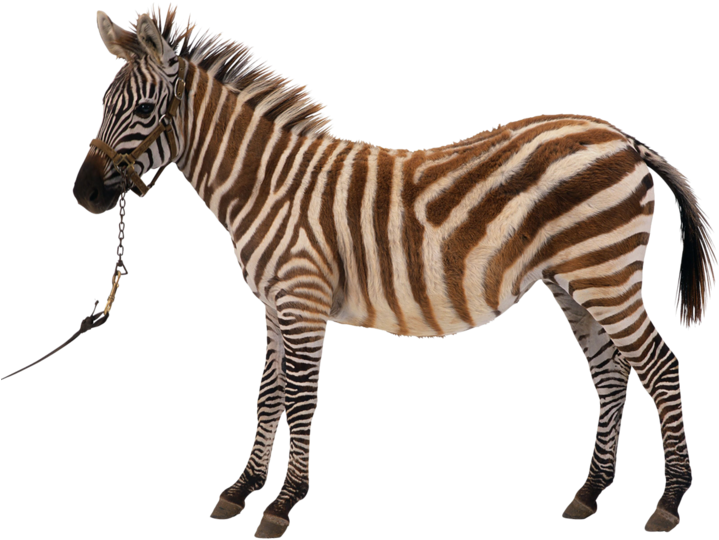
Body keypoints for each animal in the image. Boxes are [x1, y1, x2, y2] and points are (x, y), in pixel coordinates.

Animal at [72, 4, 715, 537]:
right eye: (103, 106)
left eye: (146, 110)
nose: (84, 195)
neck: (268, 183)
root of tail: (624, 139)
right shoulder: (276, 303)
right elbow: (267, 392)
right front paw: (241, 489)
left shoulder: (303, 298)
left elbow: (300, 394)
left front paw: (283, 503)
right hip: (574, 283)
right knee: (611, 376)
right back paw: (589, 493)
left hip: (606, 274)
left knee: (660, 368)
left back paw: (669, 502)